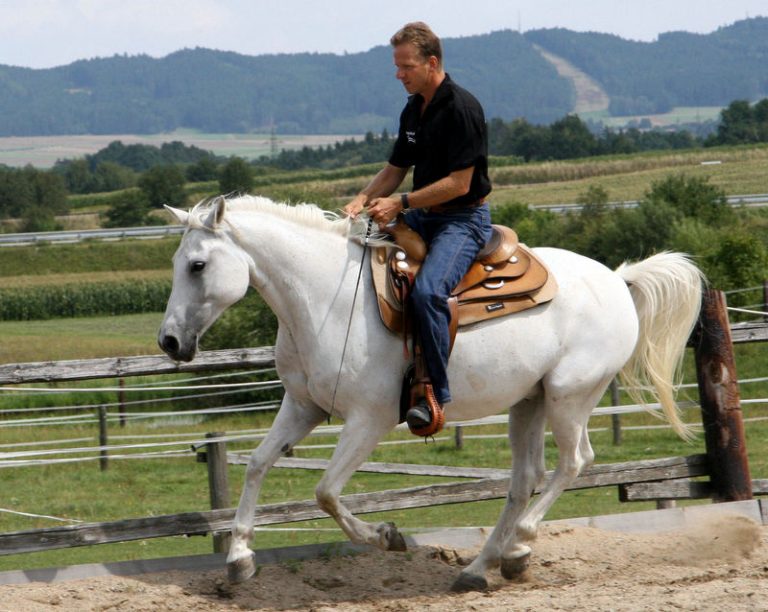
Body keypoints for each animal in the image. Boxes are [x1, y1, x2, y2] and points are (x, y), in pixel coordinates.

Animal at [159, 194, 704, 592]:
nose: (169, 342)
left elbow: (326, 492)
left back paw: (520, 544)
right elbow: (257, 463)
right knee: (526, 477)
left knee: (574, 462)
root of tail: (615, 277)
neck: (324, 299)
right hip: (528, 402)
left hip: (570, 396)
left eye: (198, 265)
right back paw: (484, 566)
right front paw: (239, 558)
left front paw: (386, 536)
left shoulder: (369, 419)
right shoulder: (303, 405)